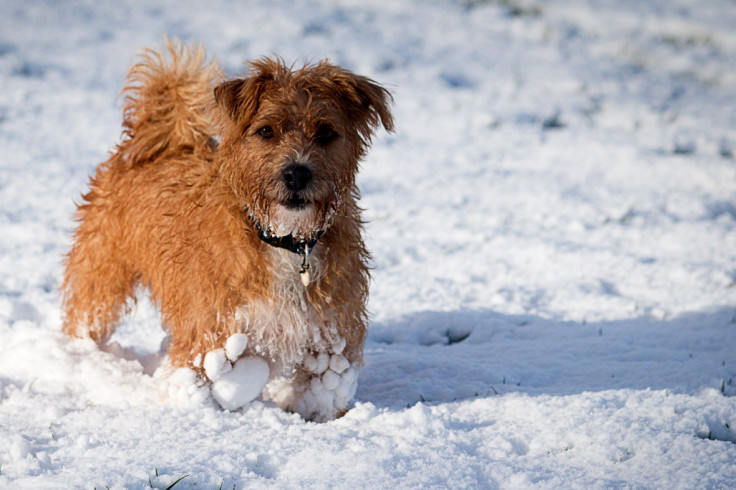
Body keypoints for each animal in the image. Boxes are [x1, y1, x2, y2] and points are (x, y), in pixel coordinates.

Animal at [62, 39, 394, 422]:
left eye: (326, 132)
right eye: (266, 130)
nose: (297, 173)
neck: (285, 241)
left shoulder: (331, 338)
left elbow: (320, 393)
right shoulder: (210, 333)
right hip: (101, 273)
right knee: (84, 316)